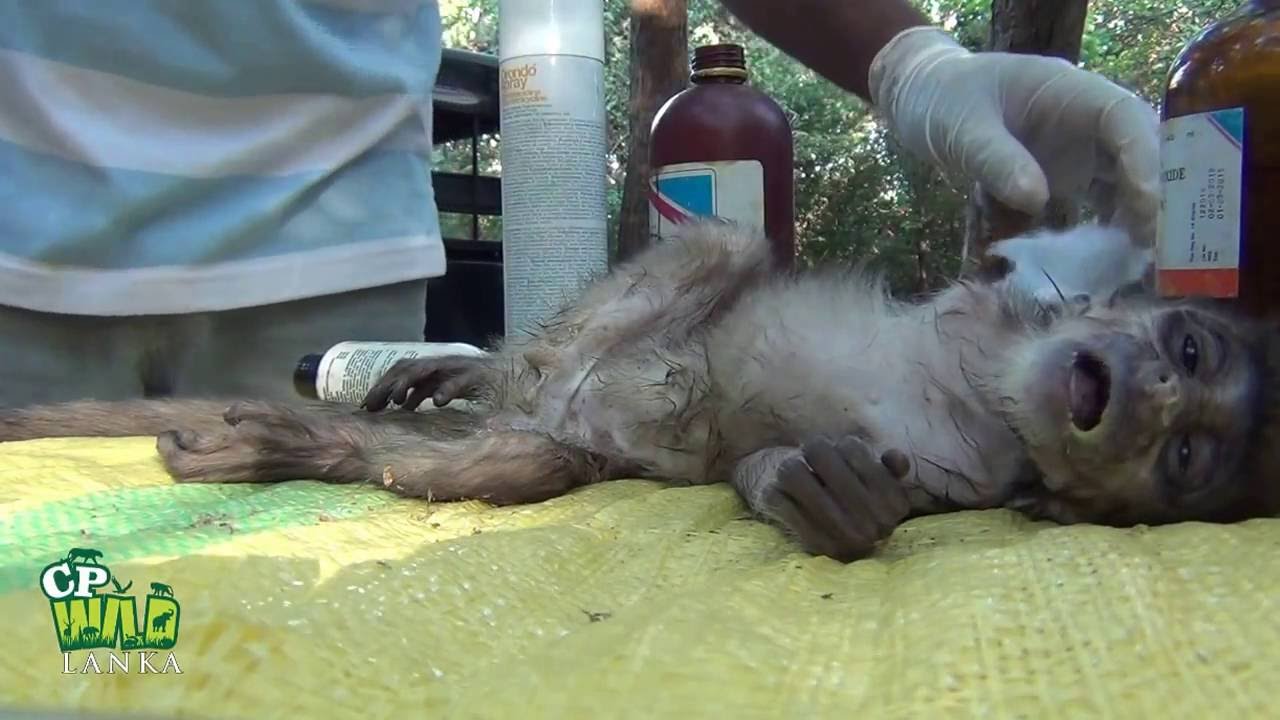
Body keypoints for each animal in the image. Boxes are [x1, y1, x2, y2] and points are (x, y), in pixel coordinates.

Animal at [3, 219, 1279, 562]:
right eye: (1185, 352)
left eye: (1183, 457)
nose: (1148, 392)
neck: (988, 392)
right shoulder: (996, 314)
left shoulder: (975, 479)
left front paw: (817, 488)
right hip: (586, 344)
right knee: (722, 245)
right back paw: (450, 373)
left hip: (553, 438)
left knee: (522, 457)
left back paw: (315, 448)